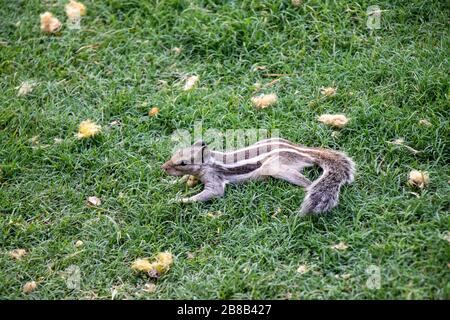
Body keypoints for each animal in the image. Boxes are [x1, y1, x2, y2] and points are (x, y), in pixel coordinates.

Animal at [162, 138, 356, 215]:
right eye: (175, 153)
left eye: (183, 163)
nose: (163, 167)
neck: (210, 161)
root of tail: (302, 151)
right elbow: (184, 181)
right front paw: (170, 184)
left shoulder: (214, 180)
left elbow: (212, 193)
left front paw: (179, 201)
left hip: (275, 167)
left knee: (307, 182)